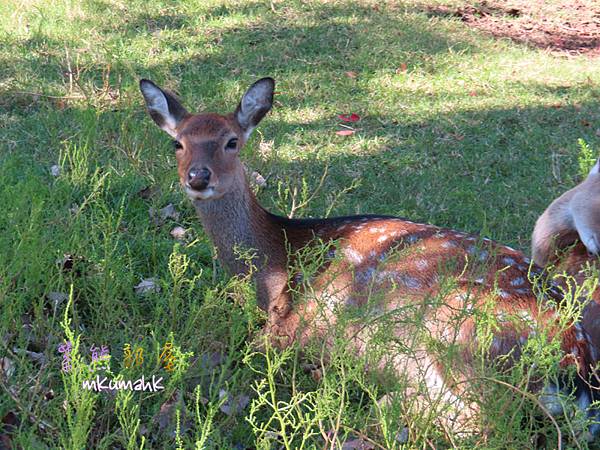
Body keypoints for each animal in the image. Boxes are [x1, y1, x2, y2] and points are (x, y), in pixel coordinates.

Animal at [141, 77, 600, 440]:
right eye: (177, 142)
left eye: (232, 141)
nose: (198, 177)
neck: (275, 264)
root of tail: (576, 372)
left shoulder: (294, 327)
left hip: (461, 328)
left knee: (481, 422)